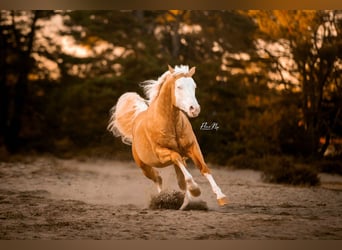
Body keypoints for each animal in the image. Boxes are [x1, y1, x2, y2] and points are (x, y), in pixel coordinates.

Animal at [107, 65, 227, 209]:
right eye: (179, 87)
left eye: (194, 86)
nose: (194, 109)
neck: (171, 124)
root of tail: (137, 118)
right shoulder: (162, 153)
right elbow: (178, 161)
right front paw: (195, 190)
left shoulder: (192, 147)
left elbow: (204, 168)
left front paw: (221, 196)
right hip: (144, 167)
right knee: (158, 178)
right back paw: (162, 199)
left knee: (178, 181)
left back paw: (184, 203)